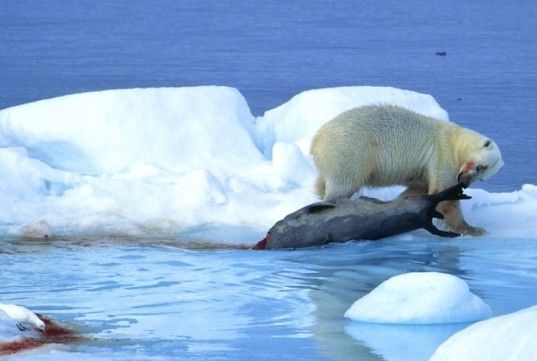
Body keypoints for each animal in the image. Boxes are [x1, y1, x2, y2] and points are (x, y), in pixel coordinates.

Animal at [310, 103, 502, 236]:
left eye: (482, 176)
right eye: (479, 167)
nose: (465, 182)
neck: (457, 140)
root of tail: (317, 139)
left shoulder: (423, 171)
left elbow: (417, 192)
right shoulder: (443, 154)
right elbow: (445, 197)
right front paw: (474, 229)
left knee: (322, 181)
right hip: (349, 151)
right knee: (343, 184)